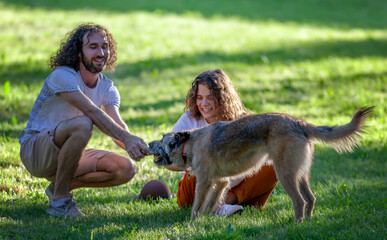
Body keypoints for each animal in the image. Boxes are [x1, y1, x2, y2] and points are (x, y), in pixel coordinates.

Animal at [149, 107, 372, 223]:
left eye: (161, 139)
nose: (148, 144)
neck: (189, 144)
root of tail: (299, 123)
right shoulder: (220, 183)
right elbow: (210, 204)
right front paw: (206, 221)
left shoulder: (204, 182)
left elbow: (197, 206)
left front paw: (193, 223)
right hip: (299, 174)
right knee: (310, 198)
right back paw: (308, 222)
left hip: (284, 174)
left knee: (299, 201)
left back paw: (297, 224)